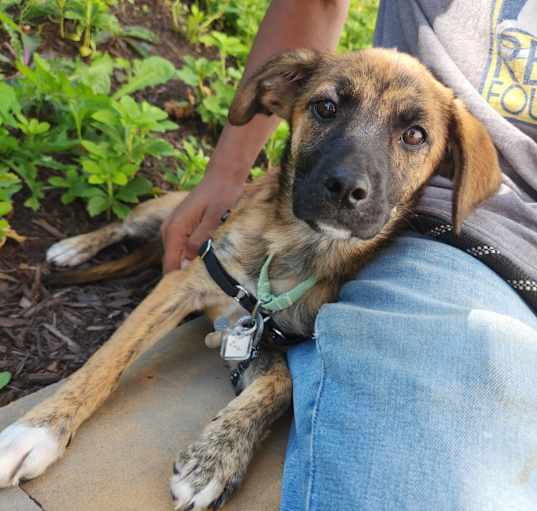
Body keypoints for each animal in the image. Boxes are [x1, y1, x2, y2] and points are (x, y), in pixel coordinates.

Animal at [1, 48, 502, 508]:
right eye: (326, 107)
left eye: (414, 135)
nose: (345, 189)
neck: (294, 247)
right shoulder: (181, 286)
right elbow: (104, 364)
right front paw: (37, 430)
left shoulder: (269, 341)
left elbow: (282, 388)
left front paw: (216, 458)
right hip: (165, 208)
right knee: (123, 224)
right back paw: (73, 247)